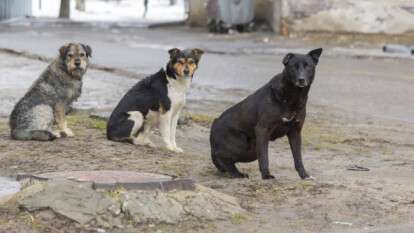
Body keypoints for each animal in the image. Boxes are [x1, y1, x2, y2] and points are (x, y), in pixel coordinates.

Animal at [210, 48, 324, 179]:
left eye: (308, 66)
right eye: (293, 67)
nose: (301, 79)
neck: (292, 96)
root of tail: (214, 125)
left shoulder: (295, 131)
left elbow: (298, 158)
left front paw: (304, 175)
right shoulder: (262, 130)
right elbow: (264, 156)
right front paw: (266, 175)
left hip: (251, 151)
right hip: (244, 146)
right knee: (222, 157)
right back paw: (236, 173)